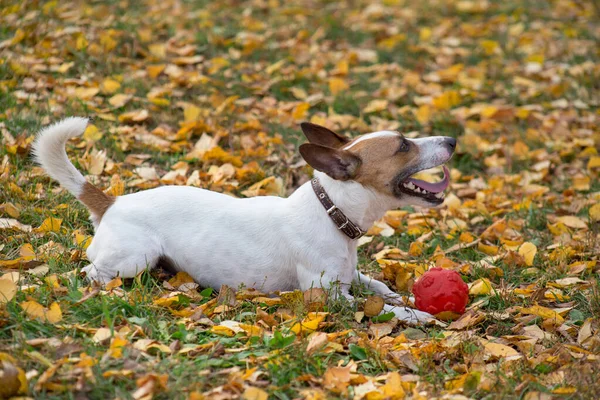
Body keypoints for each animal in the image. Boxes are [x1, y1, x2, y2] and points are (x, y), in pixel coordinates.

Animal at [32, 117, 454, 324]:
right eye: (403, 146)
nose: (451, 140)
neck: (330, 210)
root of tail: (112, 202)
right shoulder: (327, 296)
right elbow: (378, 307)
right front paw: (415, 314)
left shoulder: (350, 276)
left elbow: (378, 287)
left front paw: (397, 295)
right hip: (133, 259)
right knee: (91, 273)